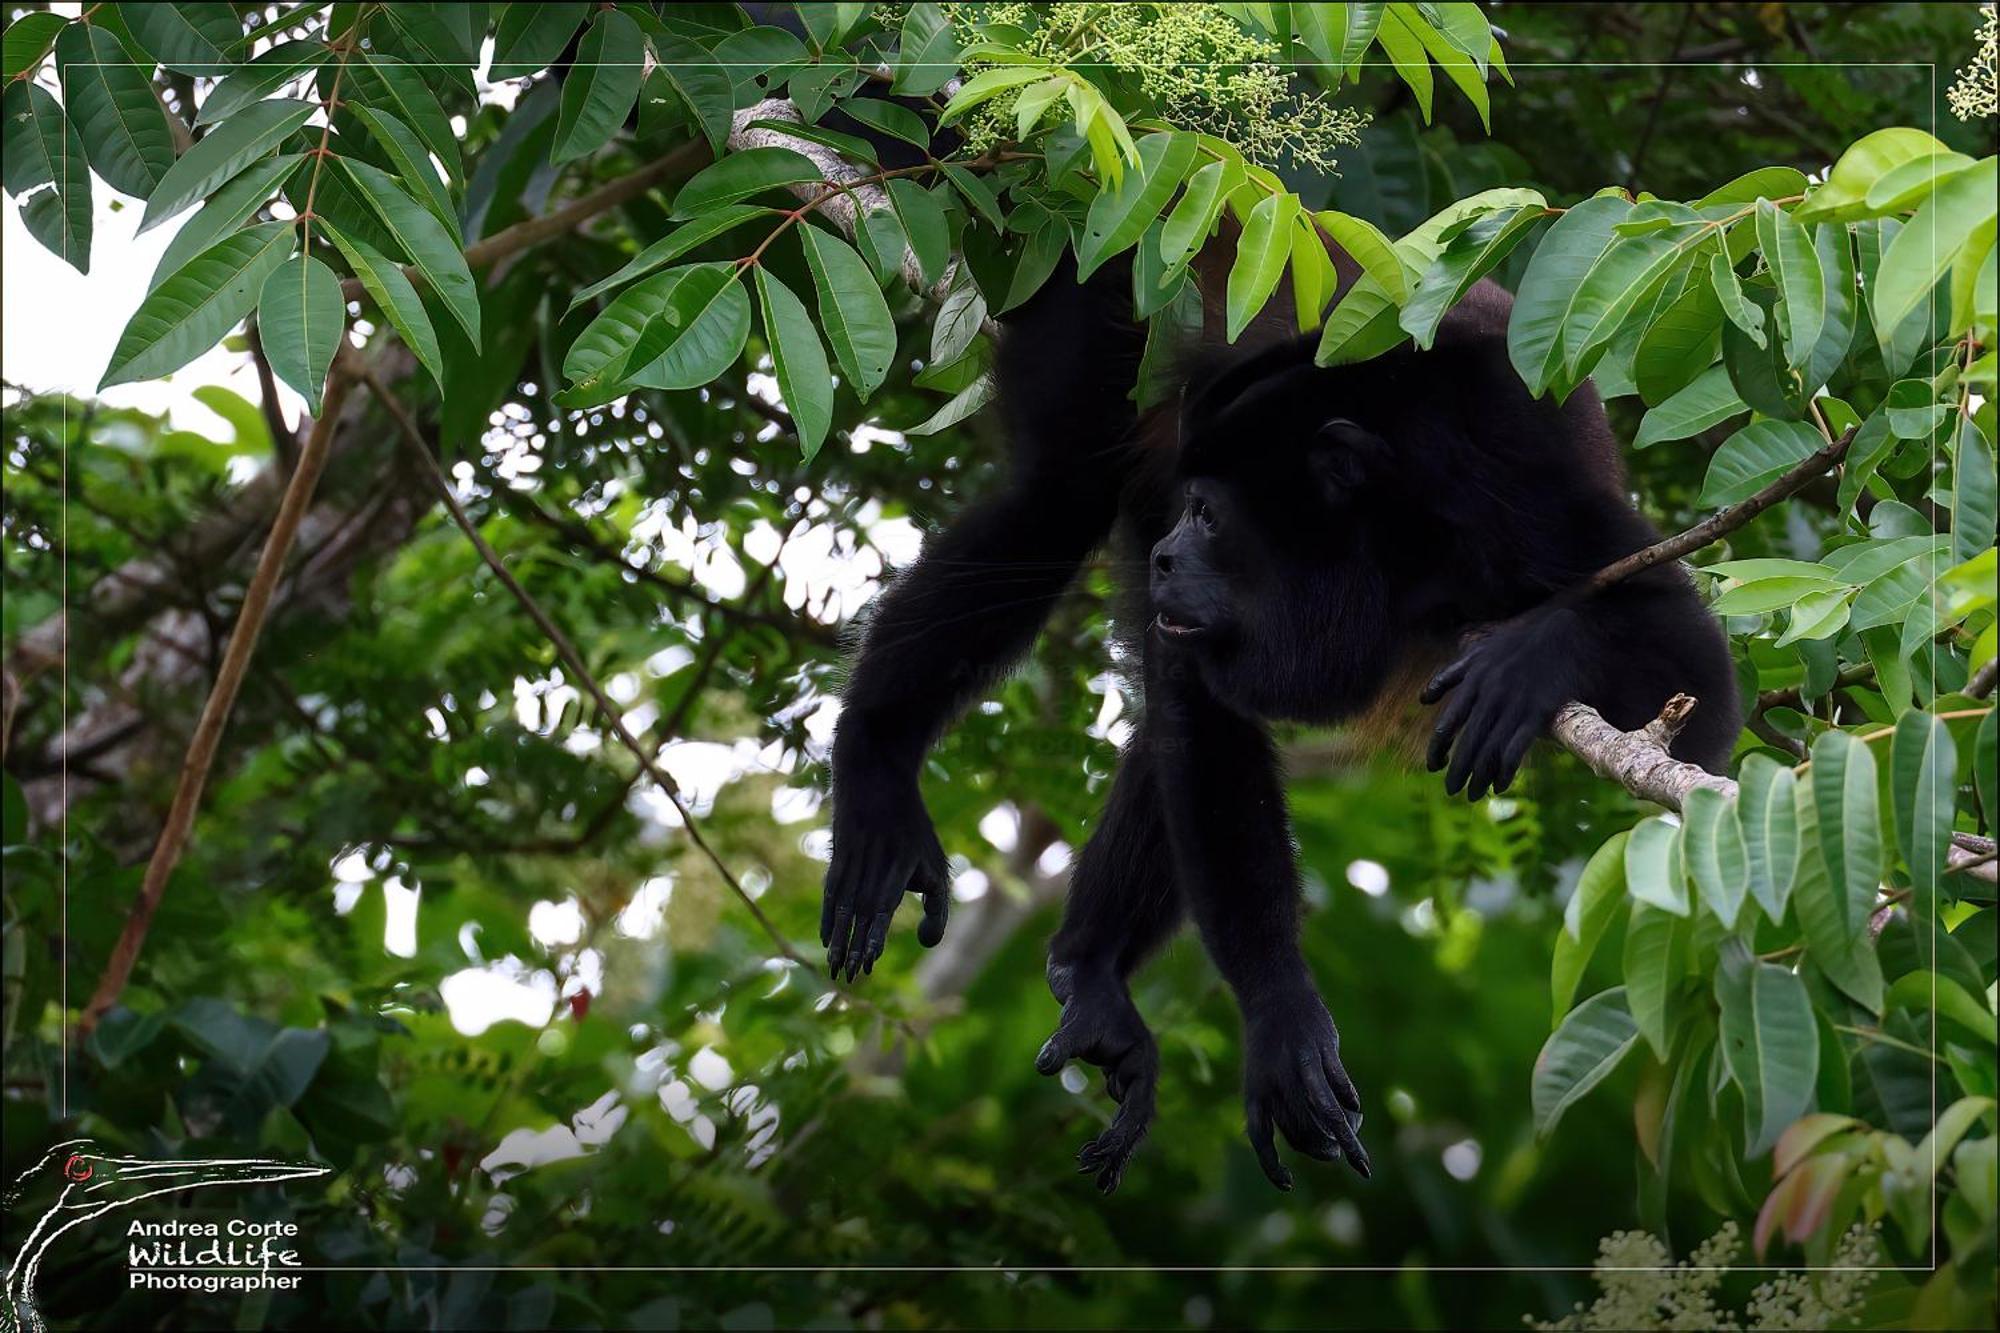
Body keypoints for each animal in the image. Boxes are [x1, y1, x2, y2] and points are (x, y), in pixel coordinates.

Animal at [820, 231, 1744, 1192]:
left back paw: (1091, 974)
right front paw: (1280, 1019)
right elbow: (1199, 707)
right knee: (1058, 499)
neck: (1400, 520)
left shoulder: (1534, 504)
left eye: (1209, 515)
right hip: (1080, 291)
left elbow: (1698, 677)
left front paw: (1527, 664)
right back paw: (879, 762)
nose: (1164, 554)